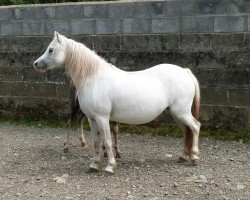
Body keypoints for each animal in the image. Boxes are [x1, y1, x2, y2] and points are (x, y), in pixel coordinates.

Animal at [33, 31, 201, 173]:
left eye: (51, 50)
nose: (35, 64)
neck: (93, 78)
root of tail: (185, 71)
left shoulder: (102, 118)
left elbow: (107, 141)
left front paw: (110, 166)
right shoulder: (91, 119)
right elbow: (95, 141)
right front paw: (94, 165)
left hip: (181, 112)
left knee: (195, 127)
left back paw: (194, 157)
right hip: (176, 114)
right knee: (186, 131)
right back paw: (183, 156)